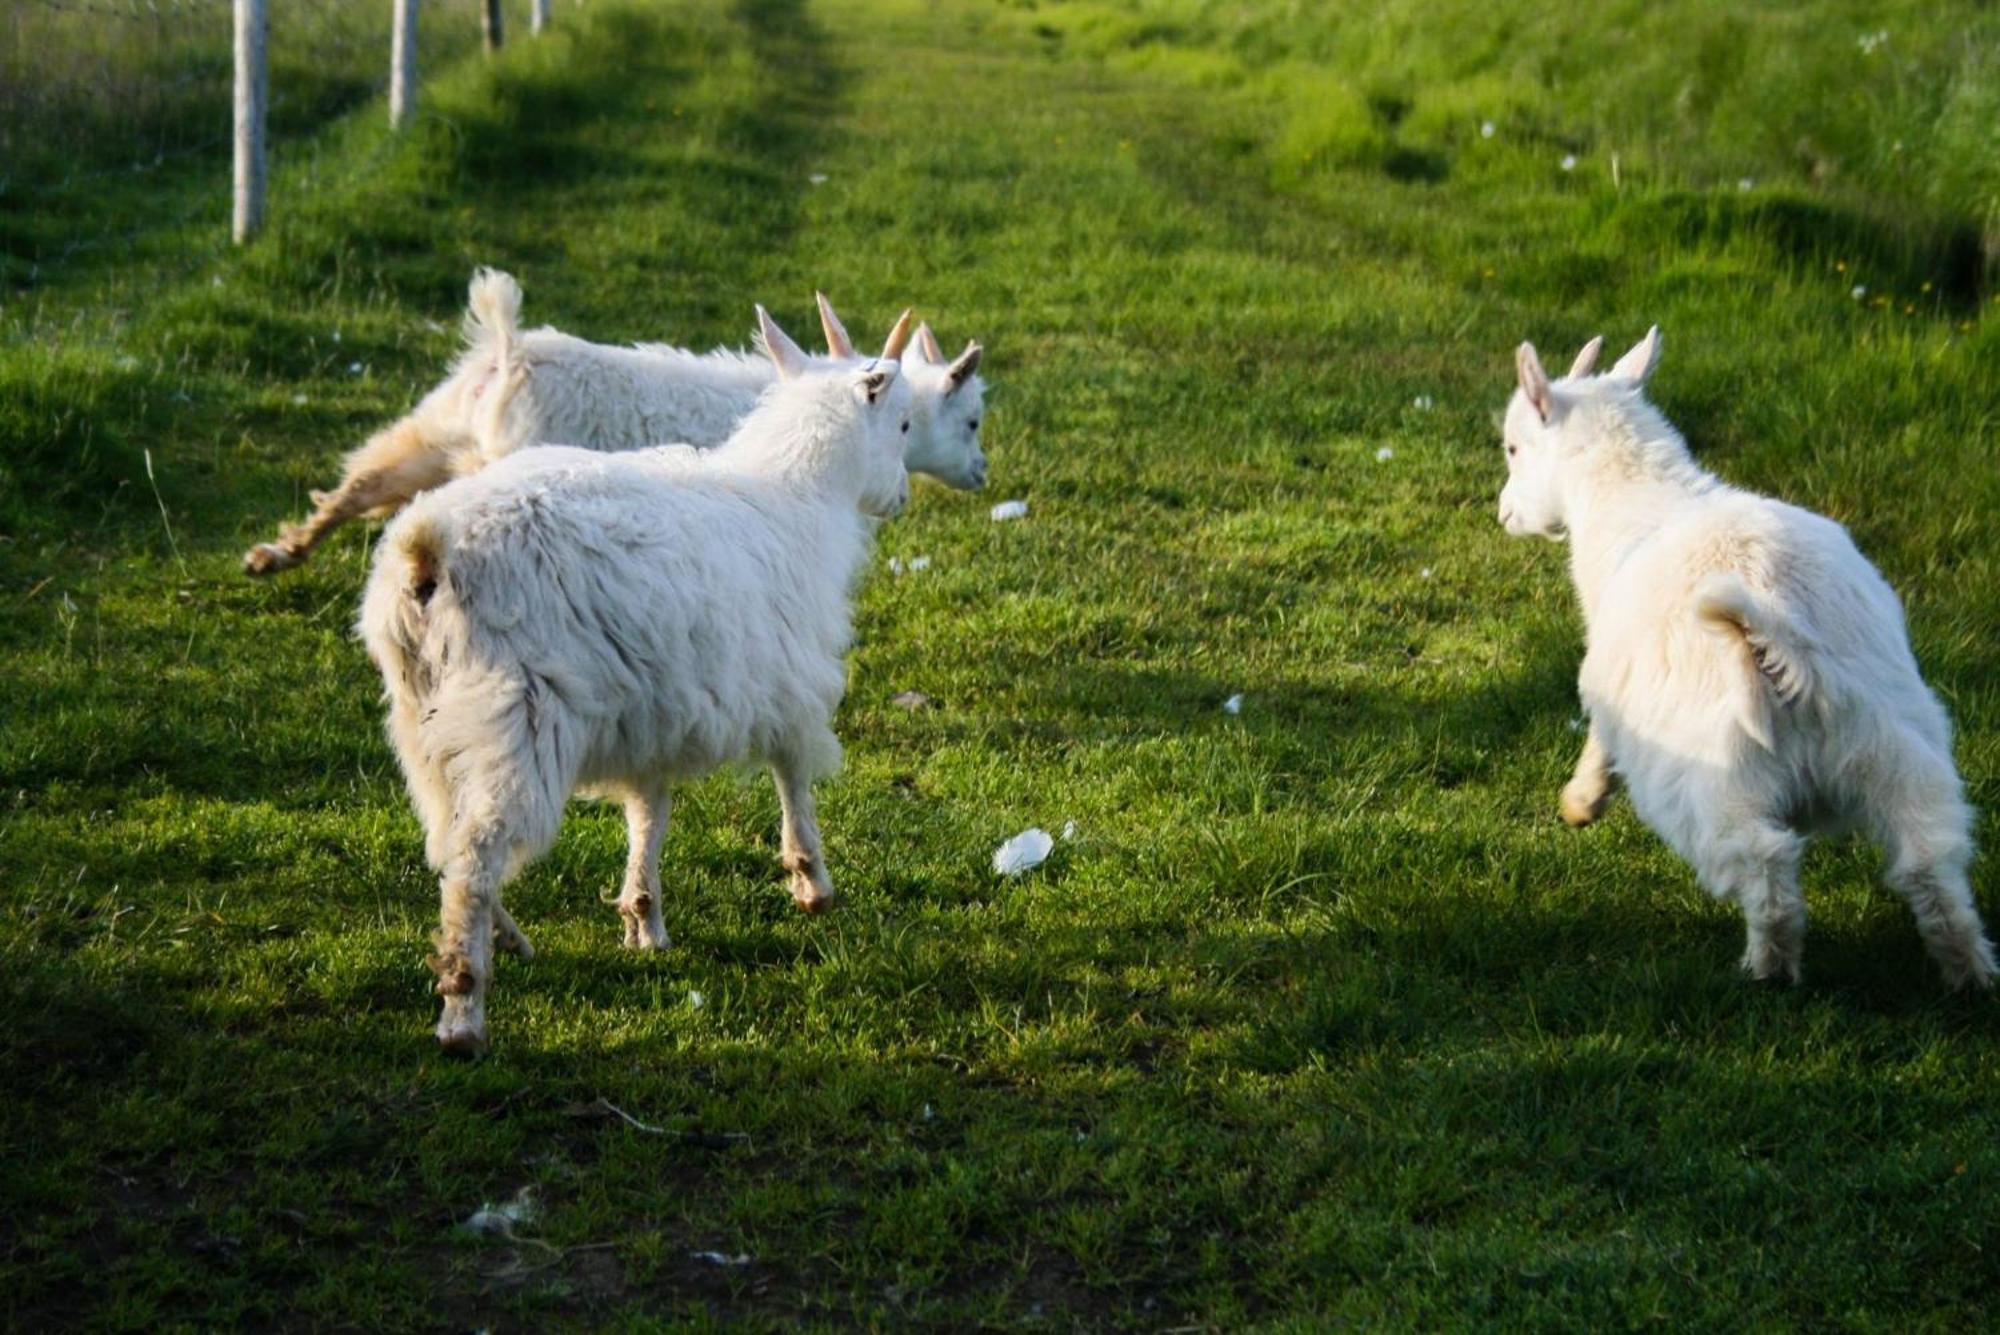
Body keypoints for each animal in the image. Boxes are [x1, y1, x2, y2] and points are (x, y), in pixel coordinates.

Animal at [242, 273, 984, 575]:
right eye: (974, 421)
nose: (982, 473)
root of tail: (508, 351)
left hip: (429, 434)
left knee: (359, 484)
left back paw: (276, 553)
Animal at [362, 305, 916, 1055]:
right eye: (906, 423)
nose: (903, 496)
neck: (795, 494)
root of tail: (429, 548)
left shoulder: (655, 710)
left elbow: (648, 814)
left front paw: (644, 919)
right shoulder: (788, 688)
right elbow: (794, 782)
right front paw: (812, 883)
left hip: (422, 715)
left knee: (446, 839)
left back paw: (507, 939)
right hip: (519, 714)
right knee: (475, 854)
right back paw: (464, 1010)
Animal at [1504, 327, 1992, 987]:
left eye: (1512, 448)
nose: (1504, 514)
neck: (1642, 501)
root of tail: (1783, 639)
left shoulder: (1614, 689)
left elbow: (1600, 742)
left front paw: (1580, 803)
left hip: (1716, 777)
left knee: (1765, 865)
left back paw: (1769, 970)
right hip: (1898, 745)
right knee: (1930, 858)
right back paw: (1968, 971)